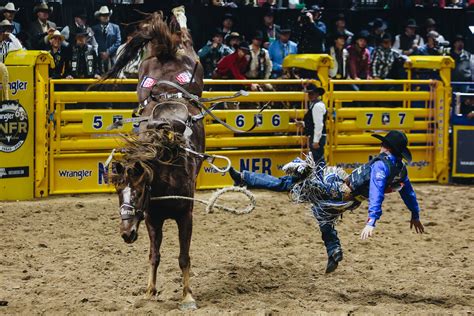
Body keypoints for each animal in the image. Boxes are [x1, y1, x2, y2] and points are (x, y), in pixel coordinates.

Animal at [102, 7, 206, 312]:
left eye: (137, 192)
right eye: (118, 193)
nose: (126, 233)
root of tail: (166, 53)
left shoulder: (185, 216)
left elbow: (183, 257)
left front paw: (187, 296)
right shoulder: (152, 219)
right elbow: (154, 254)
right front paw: (149, 291)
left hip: (192, 59)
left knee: (185, 36)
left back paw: (179, 15)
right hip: (149, 62)